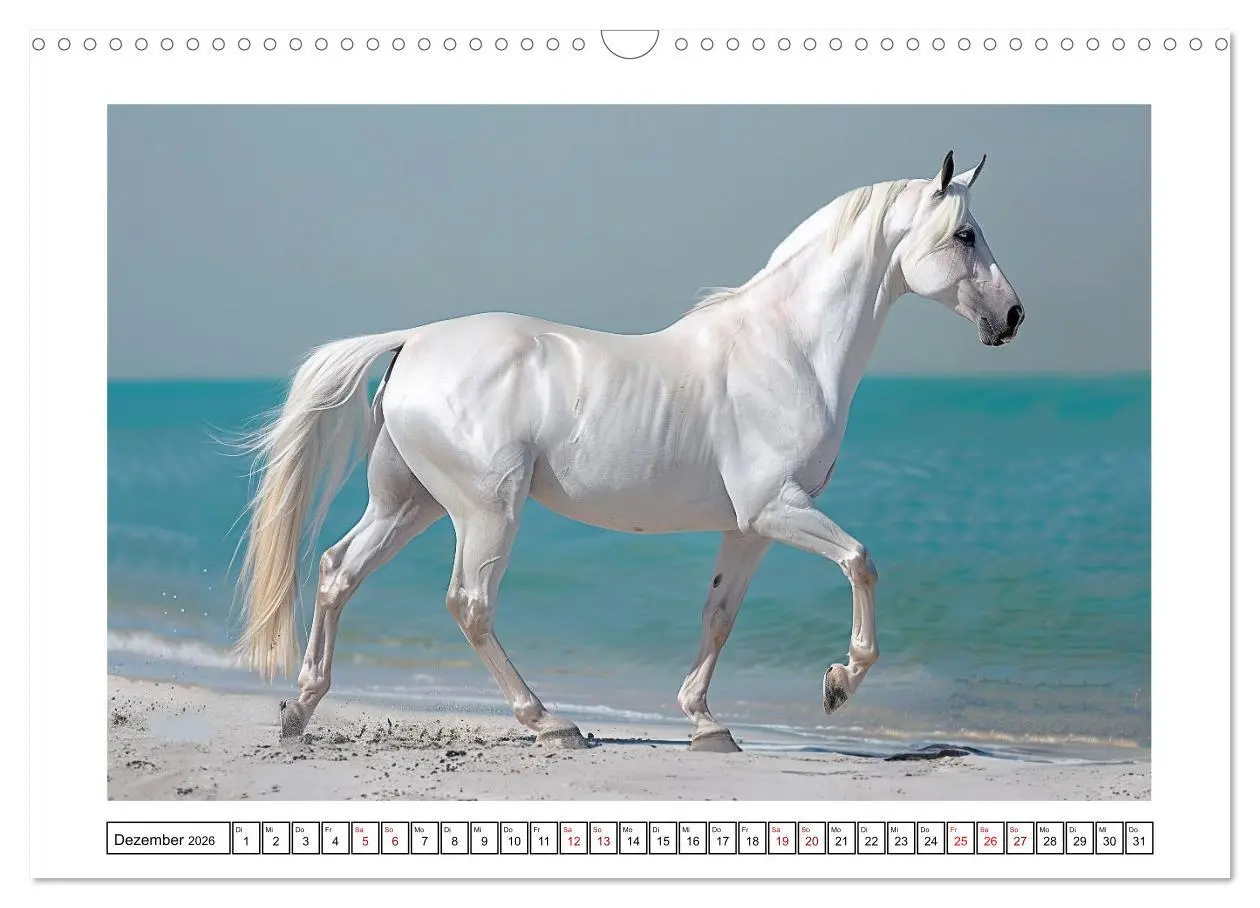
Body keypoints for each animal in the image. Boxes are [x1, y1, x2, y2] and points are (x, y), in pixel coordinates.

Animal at [236, 151, 1024, 752]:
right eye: (964, 234)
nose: (1012, 317)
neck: (788, 347)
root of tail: (414, 342)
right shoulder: (776, 508)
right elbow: (860, 562)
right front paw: (838, 684)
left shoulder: (749, 527)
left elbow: (720, 614)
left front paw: (706, 725)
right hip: (486, 510)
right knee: (470, 603)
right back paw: (550, 722)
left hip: (411, 503)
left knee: (337, 572)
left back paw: (300, 709)